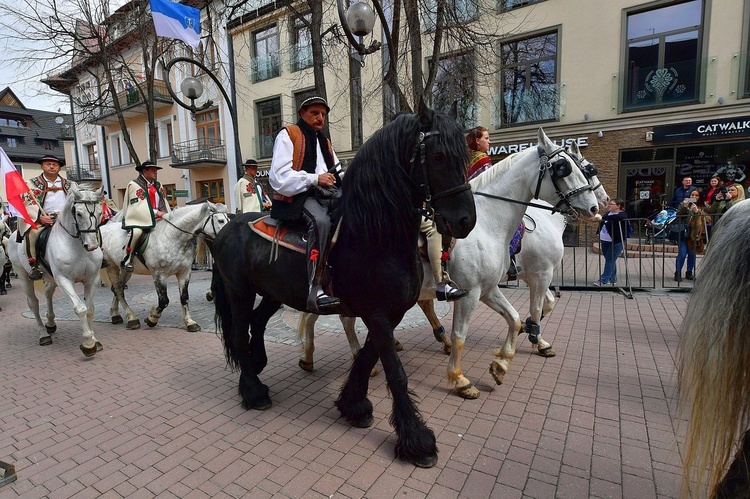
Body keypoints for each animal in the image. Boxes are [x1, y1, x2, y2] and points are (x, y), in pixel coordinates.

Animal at [7, 187, 105, 356]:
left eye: (100, 213)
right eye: (79, 214)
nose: (92, 245)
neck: (78, 246)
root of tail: (13, 235)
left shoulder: (92, 279)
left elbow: (90, 309)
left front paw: (94, 339)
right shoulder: (64, 280)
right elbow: (81, 308)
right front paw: (88, 343)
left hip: (50, 278)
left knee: (48, 293)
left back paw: (51, 323)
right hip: (23, 275)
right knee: (33, 303)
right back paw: (43, 335)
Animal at [100, 201, 229, 334]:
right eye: (220, 220)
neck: (172, 237)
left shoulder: (184, 272)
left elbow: (184, 298)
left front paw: (190, 322)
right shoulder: (159, 275)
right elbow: (164, 301)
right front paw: (152, 318)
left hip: (125, 270)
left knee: (117, 289)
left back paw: (116, 315)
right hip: (111, 266)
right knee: (118, 290)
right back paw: (132, 319)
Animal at [213, 101, 476, 468]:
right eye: (438, 156)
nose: (465, 220)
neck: (374, 235)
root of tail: (225, 226)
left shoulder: (389, 313)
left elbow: (367, 357)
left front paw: (353, 405)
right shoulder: (378, 315)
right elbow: (395, 372)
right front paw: (417, 441)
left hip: (273, 293)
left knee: (257, 322)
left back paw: (257, 362)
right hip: (239, 291)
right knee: (239, 331)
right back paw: (253, 390)